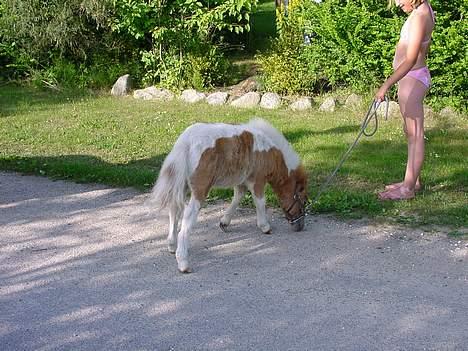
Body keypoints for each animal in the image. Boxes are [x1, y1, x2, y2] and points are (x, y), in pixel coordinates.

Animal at [149, 118, 308, 272]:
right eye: (304, 201)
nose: (300, 226)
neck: (269, 151)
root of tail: (185, 141)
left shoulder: (242, 182)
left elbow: (237, 198)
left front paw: (224, 223)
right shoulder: (257, 181)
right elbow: (260, 202)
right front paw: (265, 227)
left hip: (182, 185)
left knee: (174, 209)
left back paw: (171, 245)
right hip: (200, 189)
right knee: (187, 216)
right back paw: (183, 262)